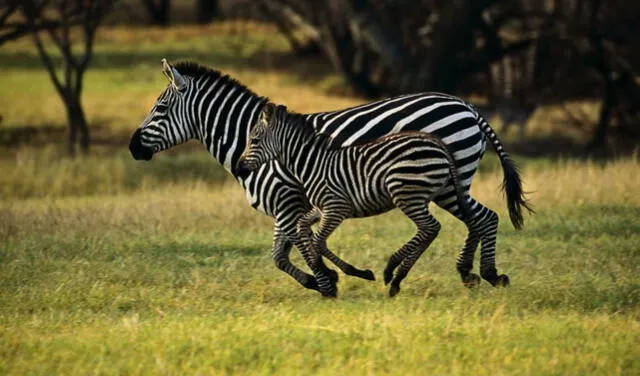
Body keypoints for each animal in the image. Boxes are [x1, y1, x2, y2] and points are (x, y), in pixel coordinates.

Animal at [235, 103, 476, 296]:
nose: (239, 167)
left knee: (430, 228)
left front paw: (327, 274)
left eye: (254, 140)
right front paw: (333, 273)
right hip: (422, 194)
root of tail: (438, 145)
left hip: (406, 193)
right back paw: (397, 277)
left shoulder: (336, 207)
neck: (312, 164)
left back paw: (393, 272)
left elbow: (318, 241)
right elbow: (304, 228)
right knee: (434, 228)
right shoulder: (322, 208)